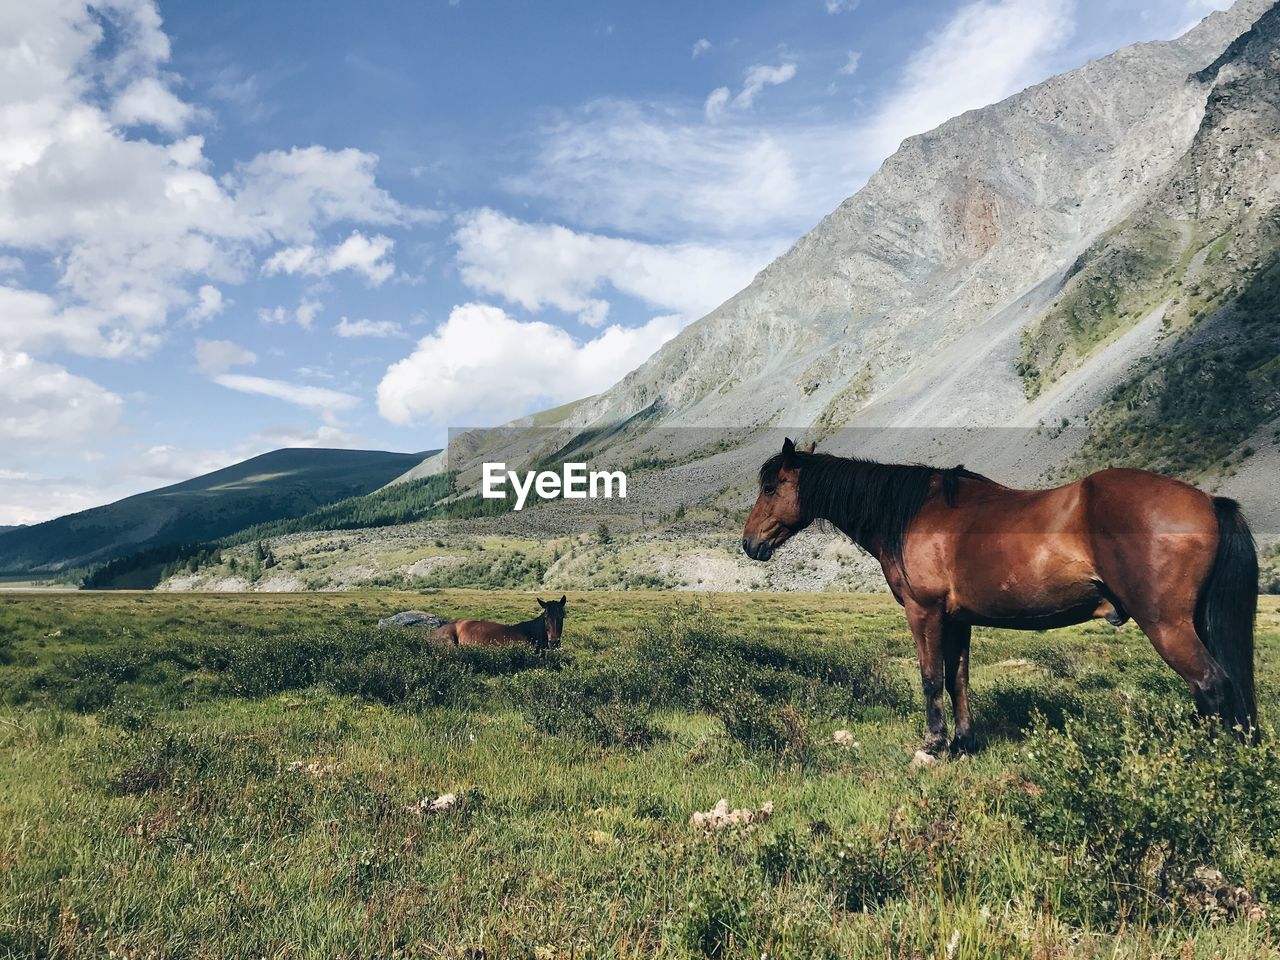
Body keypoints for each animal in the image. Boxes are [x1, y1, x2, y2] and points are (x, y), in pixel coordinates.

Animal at [747, 440, 1254, 757]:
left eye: (771, 487)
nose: (749, 543)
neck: (913, 513)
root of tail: (1209, 502)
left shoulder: (925, 613)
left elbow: (931, 678)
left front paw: (933, 744)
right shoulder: (958, 619)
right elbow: (958, 679)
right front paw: (964, 743)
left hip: (1167, 626)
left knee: (1211, 686)